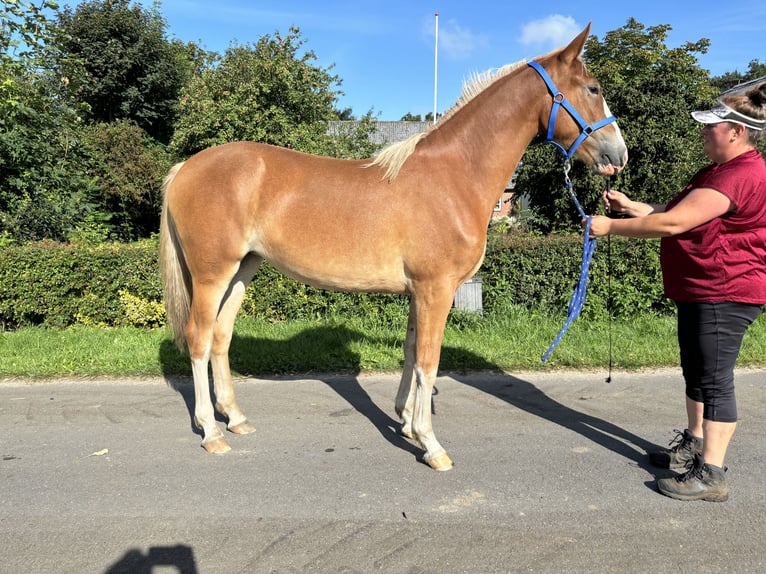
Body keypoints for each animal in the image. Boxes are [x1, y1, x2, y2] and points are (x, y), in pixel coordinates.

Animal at [160, 24, 632, 470]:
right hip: (212, 274)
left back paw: (236, 419)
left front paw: (405, 422)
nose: (620, 155)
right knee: (200, 338)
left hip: (243, 269)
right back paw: (211, 432)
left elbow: (410, 351)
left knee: (221, 337)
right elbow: (428, 360)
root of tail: (187, 167)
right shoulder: (436, 289)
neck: (454, 173)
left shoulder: (418, 291)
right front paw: (430, 443)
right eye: (593, 89)